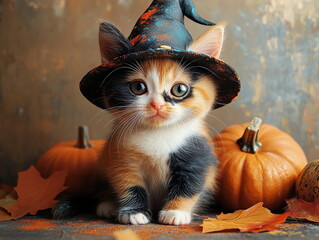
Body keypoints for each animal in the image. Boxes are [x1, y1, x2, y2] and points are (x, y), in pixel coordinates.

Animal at [92, 22, 226, 225]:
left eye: (179, 89)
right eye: (138, 87)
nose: (157, 105)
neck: (158, 132)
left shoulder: (198, 154)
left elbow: (190, 185)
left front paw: (175, 212)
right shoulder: (120, 156)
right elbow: (128, 185)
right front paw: (134, 212)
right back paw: (107, 205)